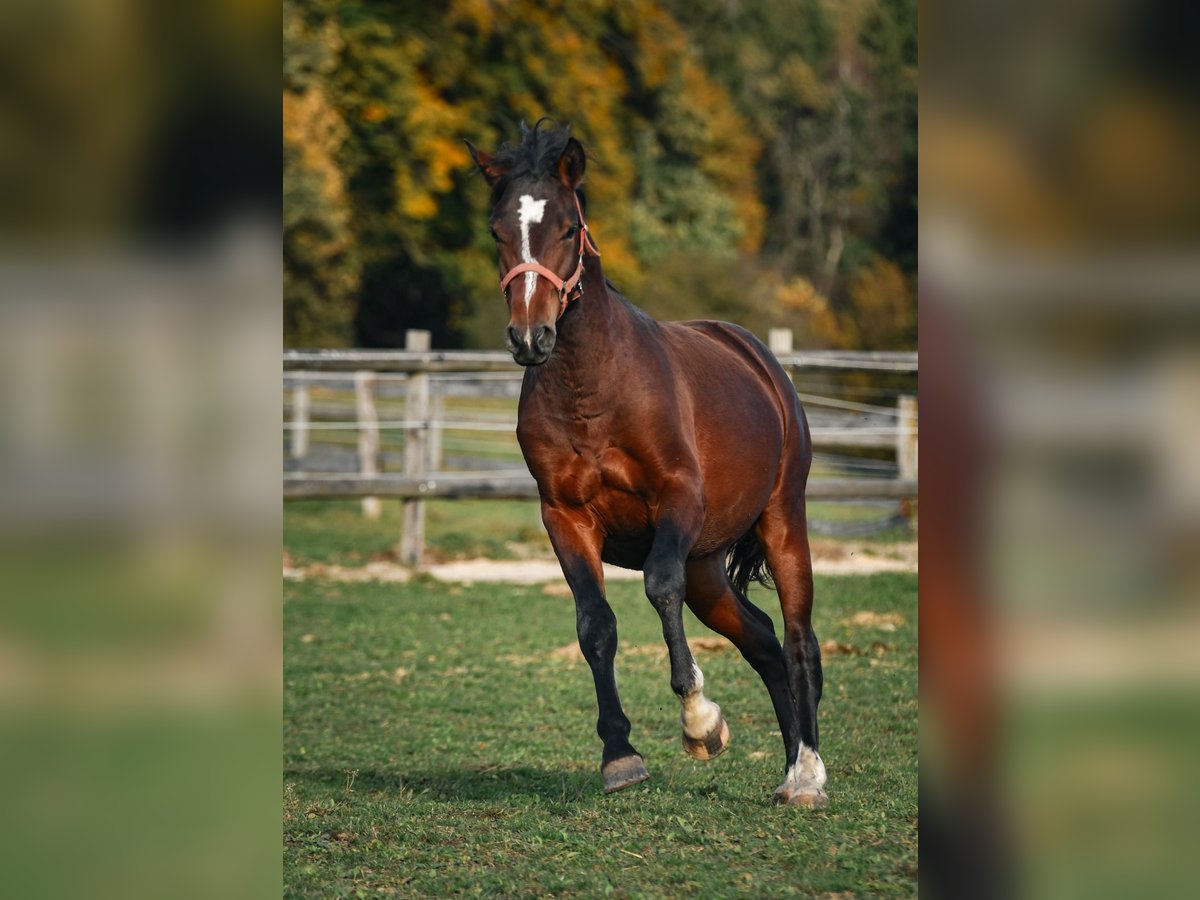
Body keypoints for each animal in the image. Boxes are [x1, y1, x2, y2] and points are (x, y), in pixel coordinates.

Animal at [465, 121, 825, 811]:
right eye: (498, 232)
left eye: (568, 229)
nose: (530, 339)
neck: (595, 390)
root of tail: (762, 362)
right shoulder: (565, 518)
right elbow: (595, 625)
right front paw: (620, 756)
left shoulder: (676, 500)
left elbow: (659, 588)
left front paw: (700, 722)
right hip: (708, 568)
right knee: (764, 642)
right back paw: (790, 765)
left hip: (781, 521)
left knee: (797, 640)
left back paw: (808, 776)